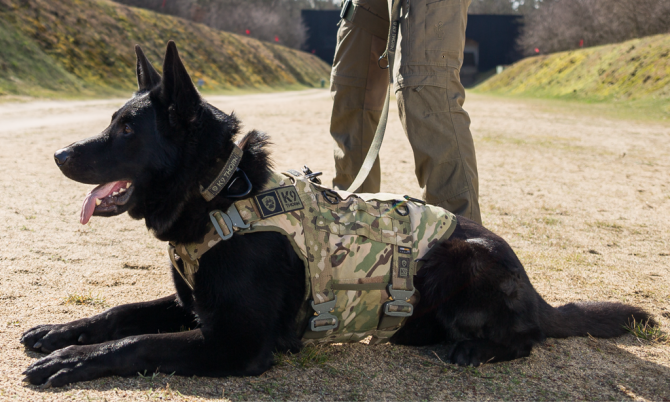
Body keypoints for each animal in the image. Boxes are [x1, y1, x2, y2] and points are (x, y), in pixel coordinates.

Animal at [22, 40, 656, 386]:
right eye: (112, 121)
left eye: (128, 129)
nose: (58, 154)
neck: (219, 192)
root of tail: (533, 288)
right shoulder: (192, 305)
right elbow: (122, 314)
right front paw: (59, 333)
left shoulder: (234, 343)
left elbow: (138, 342)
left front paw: (72, 359)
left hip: (461, 256)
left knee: (527, 335)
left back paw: (474, 348)